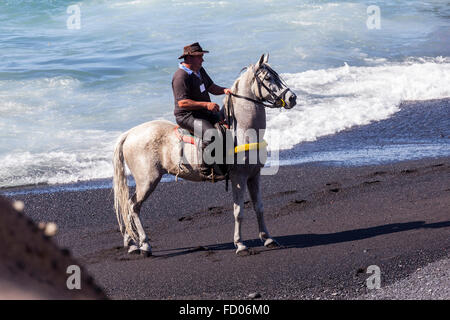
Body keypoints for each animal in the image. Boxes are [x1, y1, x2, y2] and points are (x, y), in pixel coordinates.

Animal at [113, 53, 296, 256]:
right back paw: (144, 244)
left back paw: (131, 244)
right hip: (147, 181)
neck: (242, 131)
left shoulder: (254, 175)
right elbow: (239, 211)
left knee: (127, 207)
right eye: (268, 78)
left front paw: (267, 238)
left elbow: (259, 207)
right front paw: (240, 244)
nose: (292, 98)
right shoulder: (238, 178)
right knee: (133, 207)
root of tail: (129, 134)